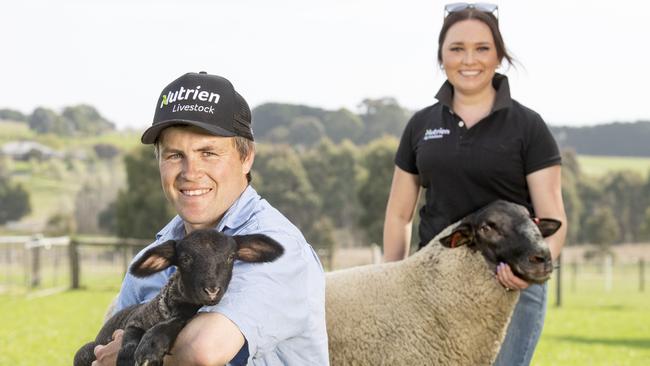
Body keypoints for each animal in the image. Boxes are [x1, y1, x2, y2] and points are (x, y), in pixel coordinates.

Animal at [73, 230, 280, 364]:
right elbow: (129, 344)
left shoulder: (184, 316)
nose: (212, 290)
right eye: (185, 259)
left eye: (231, 257)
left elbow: (175, 322)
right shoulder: (135, 321)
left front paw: (151, 345)